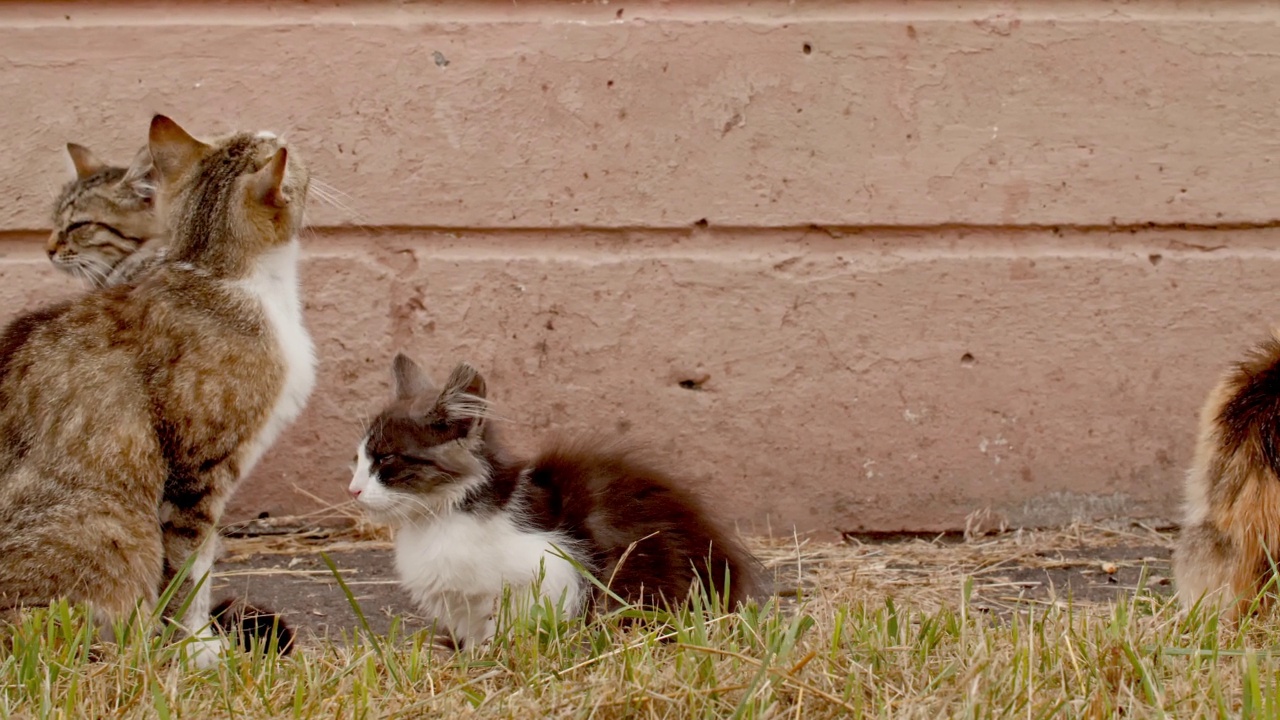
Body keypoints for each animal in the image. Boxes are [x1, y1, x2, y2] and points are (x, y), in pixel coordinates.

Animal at [1, 114, 316, 666]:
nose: (289, 134)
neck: (214, 269)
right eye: (287, 150)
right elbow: (189, 568)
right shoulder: (195, 474)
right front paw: (196, 647)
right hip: (112, 525)